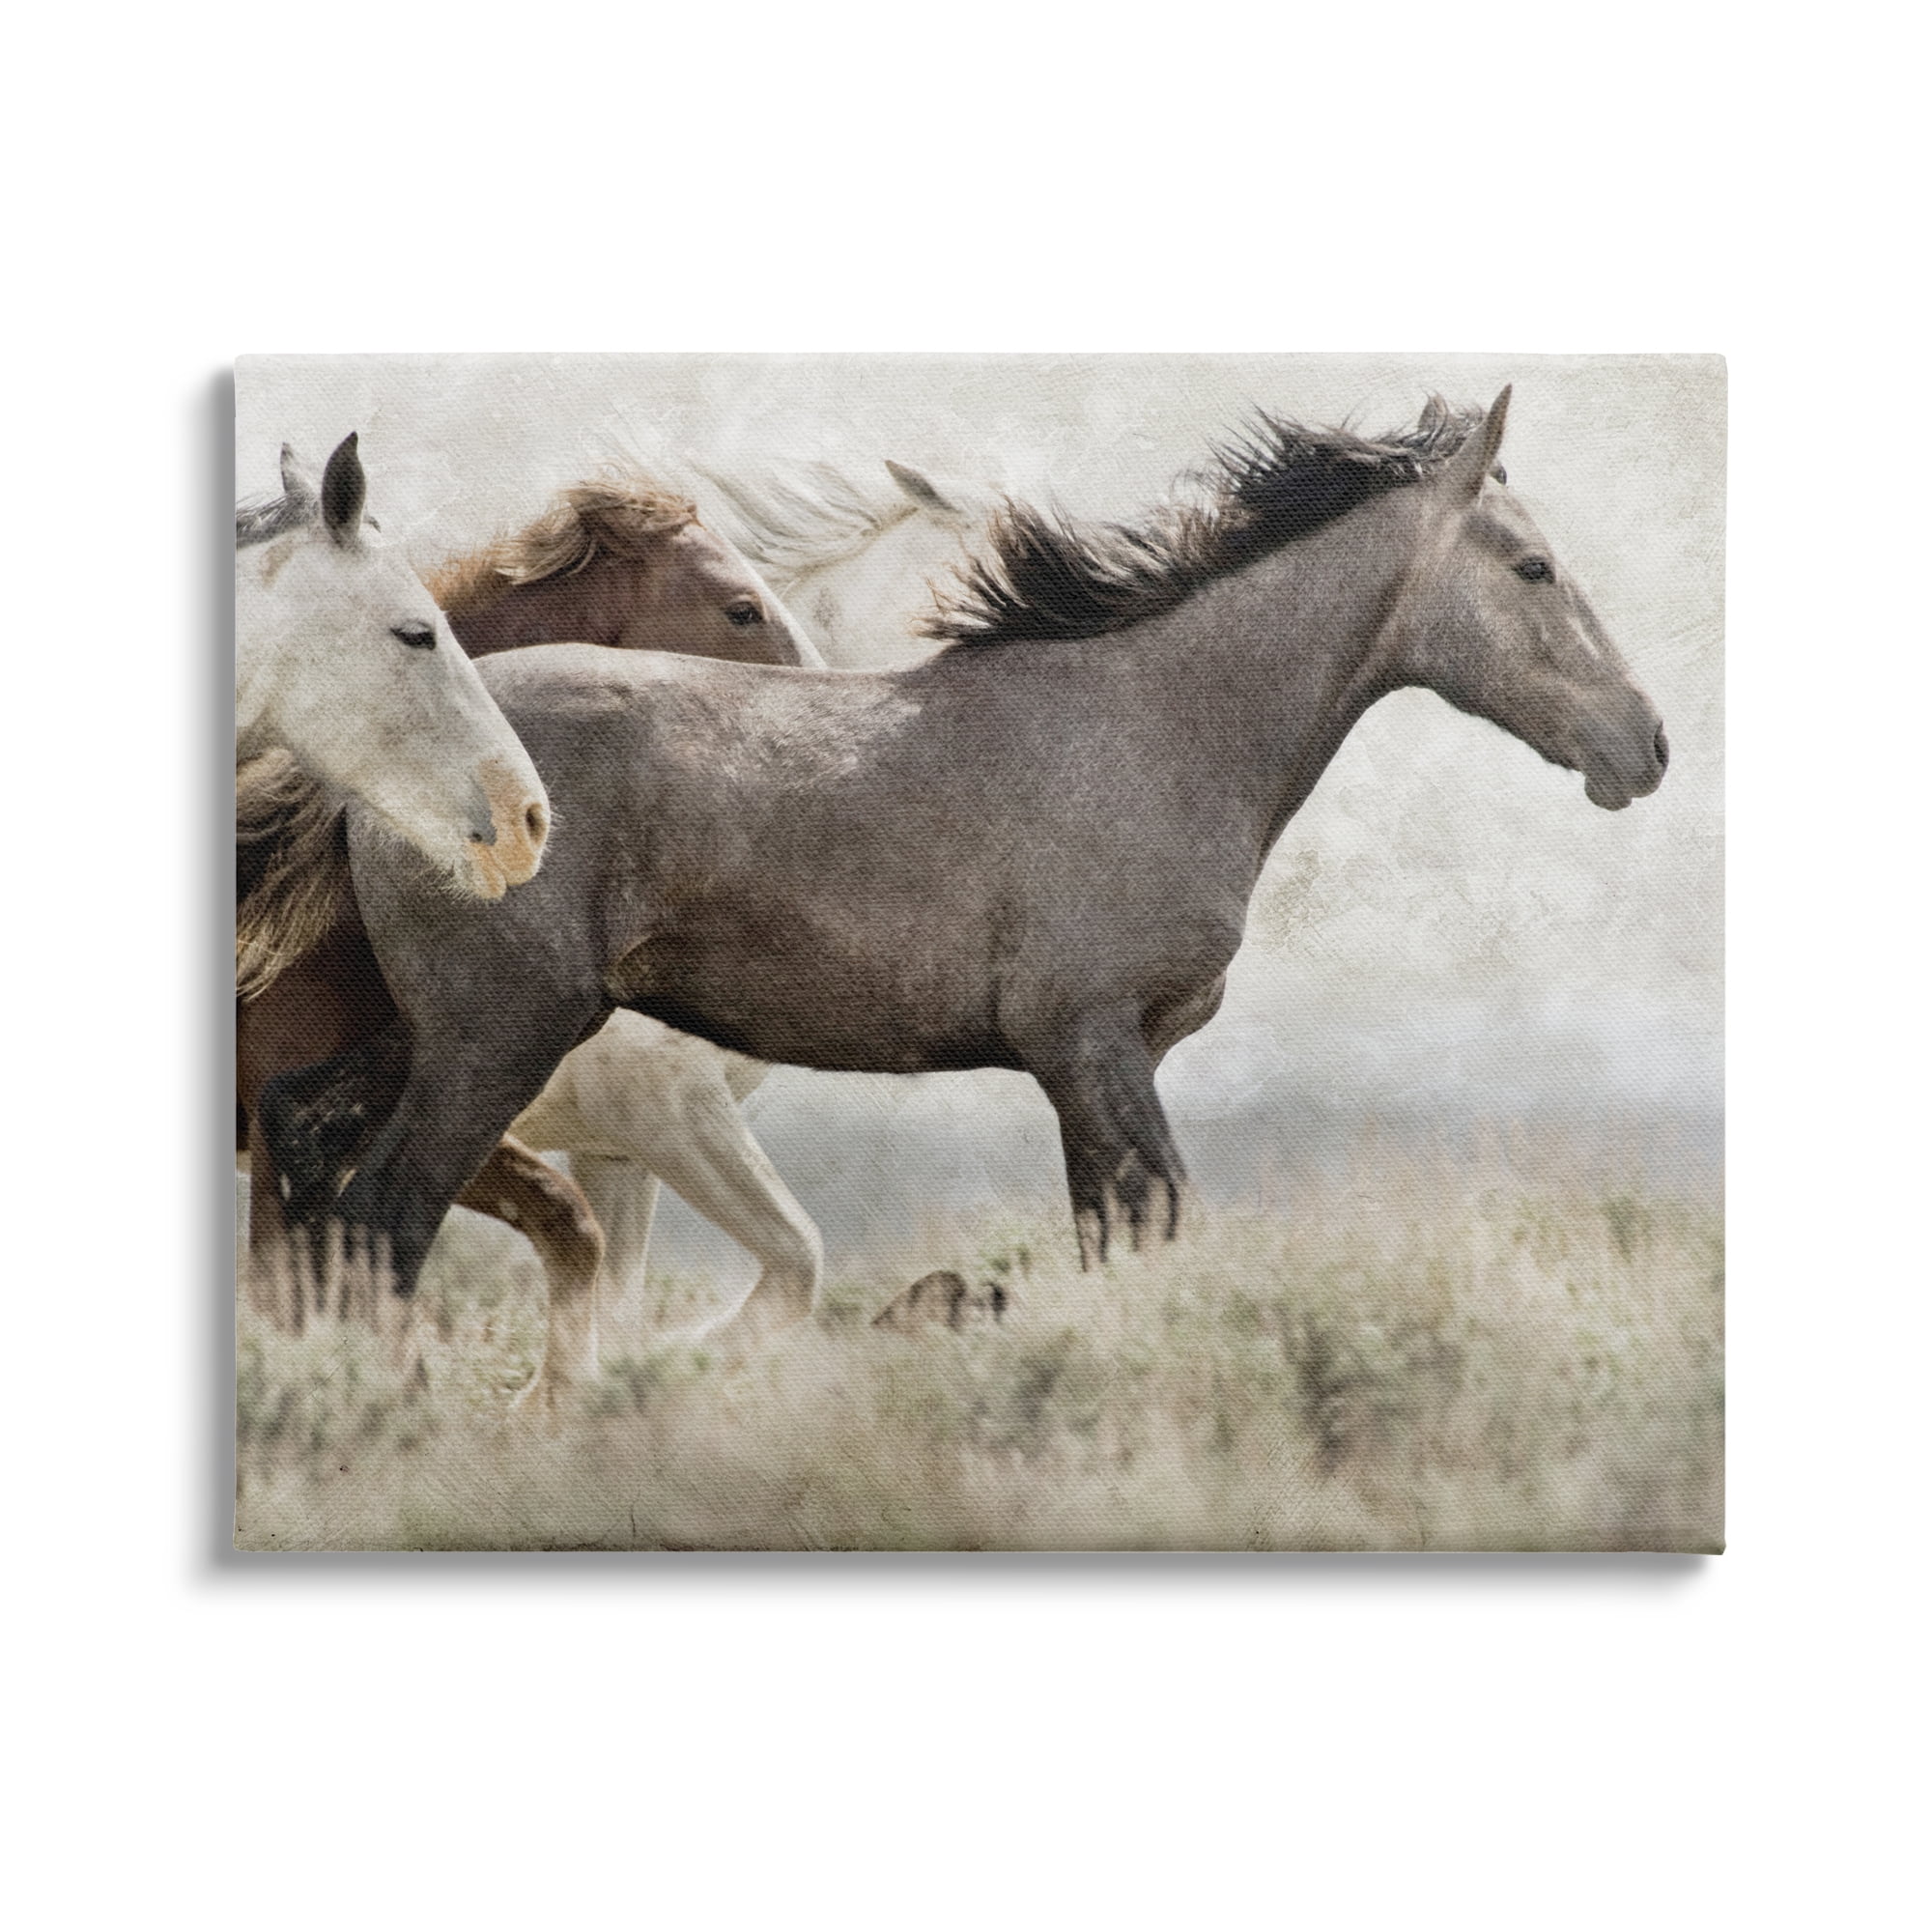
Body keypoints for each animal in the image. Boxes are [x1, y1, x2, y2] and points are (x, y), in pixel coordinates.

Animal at [273, 389, 1670, 1329]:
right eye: (1533, 566)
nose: (1643, 745)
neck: (1153, 726)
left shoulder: (1097, 1066)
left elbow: (1115, 1244)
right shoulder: (1092, 1045)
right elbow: (1159, 1230)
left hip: (425, 1038)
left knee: (312, 1177)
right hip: (494, 1042)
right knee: (384, 1219)